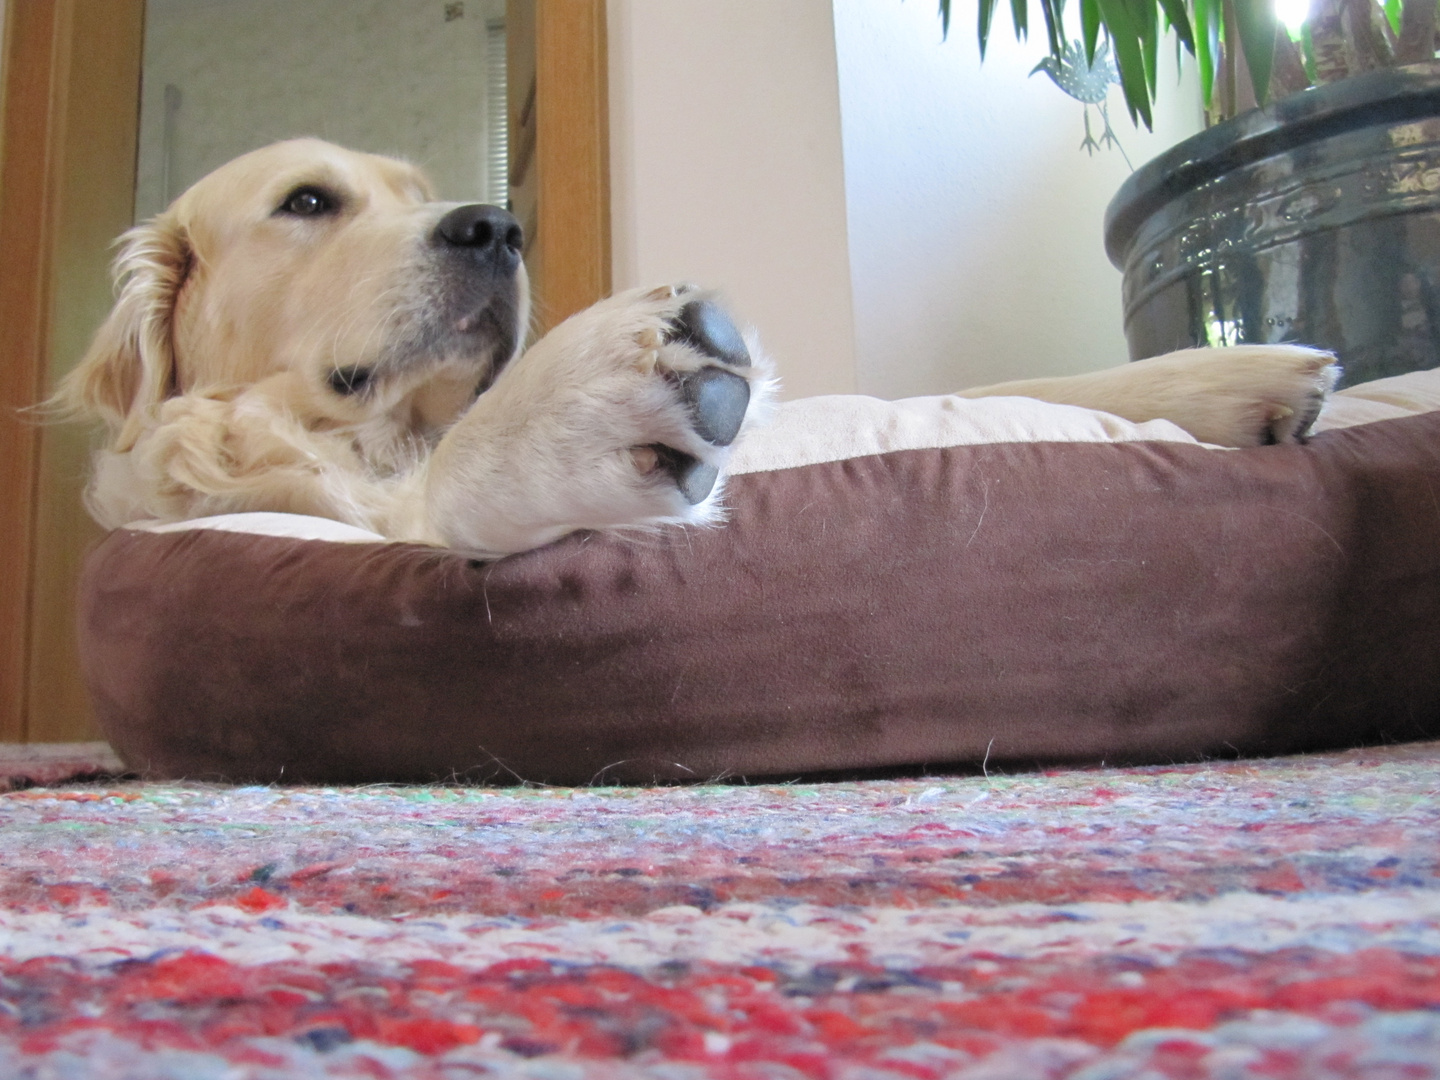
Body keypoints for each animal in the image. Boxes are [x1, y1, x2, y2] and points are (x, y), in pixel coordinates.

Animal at [56, 138, 1336, 552]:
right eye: (310, 202)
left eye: (418, 194)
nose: (496, 227)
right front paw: (581, 410)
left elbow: (993, 381)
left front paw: (1233, 373)